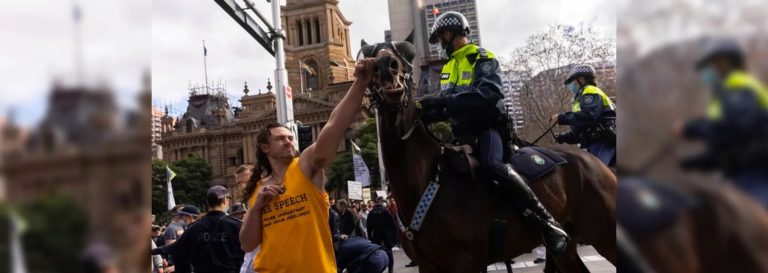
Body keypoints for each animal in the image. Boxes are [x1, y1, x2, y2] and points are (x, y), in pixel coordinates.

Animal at [358, 38, 616, 272]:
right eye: (369, 56)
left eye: (406, 54)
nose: (387, 66)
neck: (426, 180)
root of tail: (594, 161)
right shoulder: (428, 266)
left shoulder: (467, 264)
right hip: (567, 249)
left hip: (604, 233)